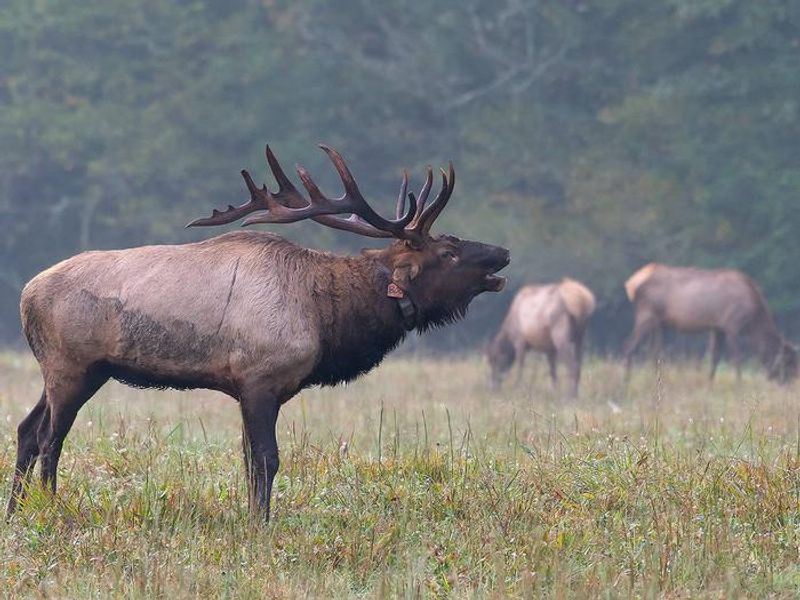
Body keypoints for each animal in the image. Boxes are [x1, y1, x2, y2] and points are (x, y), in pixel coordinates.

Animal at [7, 144, 510, 521]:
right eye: (448, 251)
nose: (502, 253)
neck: (325, 315)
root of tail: (25, 295)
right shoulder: (259, 380)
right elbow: (267, 460)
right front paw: (261, 525)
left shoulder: (255, 388)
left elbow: (249, 461)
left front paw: (252, 517)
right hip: (72, 366)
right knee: (51, 438)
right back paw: (51, 509)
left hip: (75, 371)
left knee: (27, 429)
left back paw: (16, 513)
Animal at [623, 263, 798, 383]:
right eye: (789, 363)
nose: (791, 383)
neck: (754, 318)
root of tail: (631, 284)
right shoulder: (731, 325)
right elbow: (736, 358)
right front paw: (739, 384)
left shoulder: (717, 327)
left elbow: (715, 358)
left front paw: (709, 384)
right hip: (647, 315)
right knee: (630, 346)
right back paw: (626, 382)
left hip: (660, 323)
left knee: (655, 353)